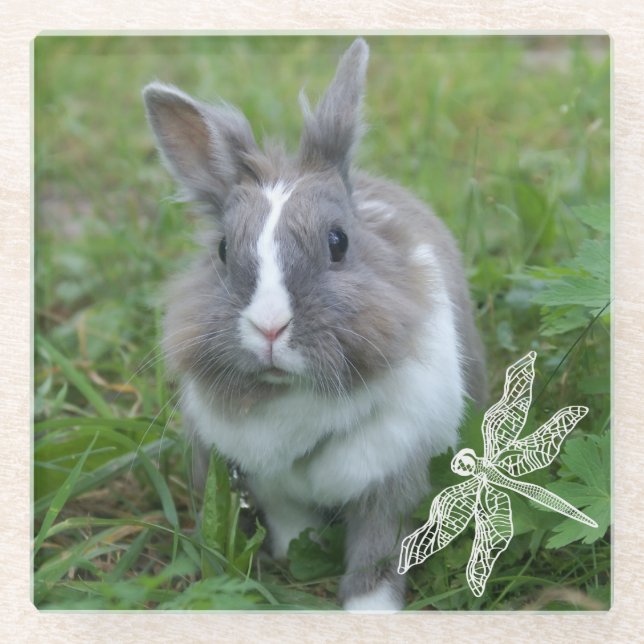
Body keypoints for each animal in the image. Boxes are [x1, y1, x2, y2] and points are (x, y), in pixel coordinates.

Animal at [143, 38, 486, 611]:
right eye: (222, 250)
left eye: (337, 242)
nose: (270, 329)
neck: (298, 398)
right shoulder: (269, 485)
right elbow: (292, 524)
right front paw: (296, 556)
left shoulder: (392, 479)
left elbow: (377, 550)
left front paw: (371, 611)